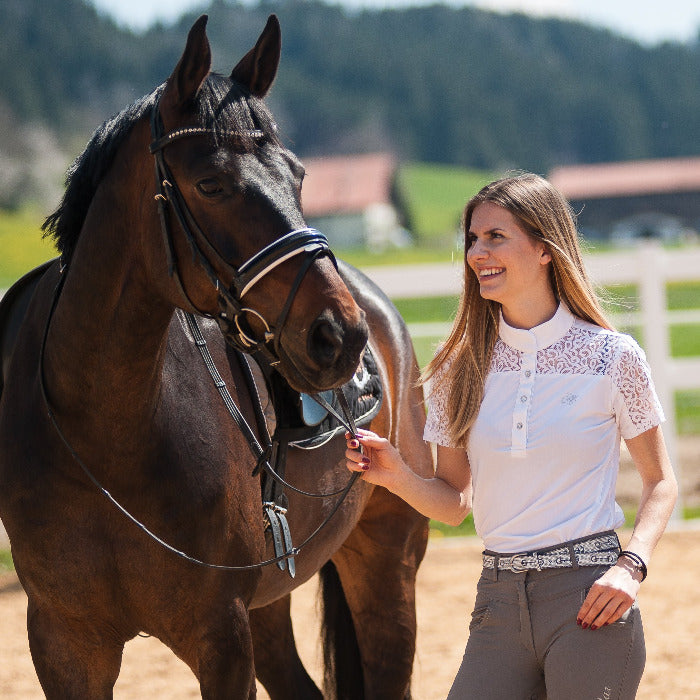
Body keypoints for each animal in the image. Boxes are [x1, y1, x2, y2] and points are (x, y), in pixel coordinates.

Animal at [0, 12, 432, 700]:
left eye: (298, 176)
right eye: (211, 183)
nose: (341, 336)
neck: (105, 435)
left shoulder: (221, 636)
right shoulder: (65, 644)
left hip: (386, 560)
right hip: (271, 604)